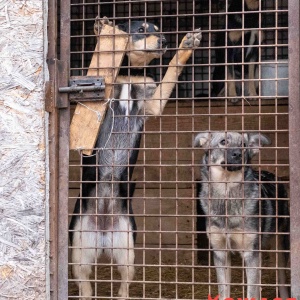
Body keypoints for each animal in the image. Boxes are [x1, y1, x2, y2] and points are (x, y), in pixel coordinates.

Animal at [69, 17, 202, 298]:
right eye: (141, 30)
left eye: (158, 30)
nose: (164, 41)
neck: (130, 73)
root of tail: (104, 233)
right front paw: (101, 28)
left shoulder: (152, 103)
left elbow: (171, 70)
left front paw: (186, 46)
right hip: (80, 251)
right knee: (85, 284)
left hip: (127, 251)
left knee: (123, 285)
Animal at [193, 132, 290, 300]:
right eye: (223, 142)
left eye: (244, 145)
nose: (238, 154)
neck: (227, 195)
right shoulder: (221, 253)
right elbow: (224, 291)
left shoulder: (250, 253)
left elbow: (251, 292)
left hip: (280, 247)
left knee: (282, 278)